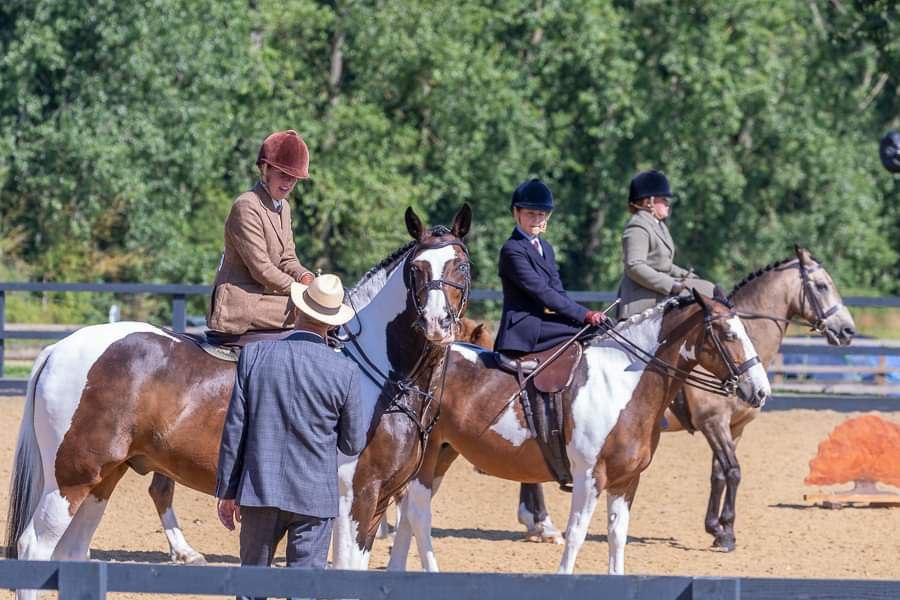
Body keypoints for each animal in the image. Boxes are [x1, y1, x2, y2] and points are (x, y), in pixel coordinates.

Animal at [5, 205, 472, 596]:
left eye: (461, 265)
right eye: (415, 269)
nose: (437, 323)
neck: (380, 375)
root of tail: (59, 348)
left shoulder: (376, 505)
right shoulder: (352, 499)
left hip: (104, 478)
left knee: (71, 555)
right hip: (71, 479)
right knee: (34, 549)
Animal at [384, 292, 768, 576]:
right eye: (729, 334)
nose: (761, 391)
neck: (623, 383)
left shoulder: (626, 481)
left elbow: (617, 536)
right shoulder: (589, 477)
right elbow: (577, 535)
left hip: (442, 454)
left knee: (410, 510)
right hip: (428, 456)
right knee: (419, 513)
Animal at [516, 246, 856, 552]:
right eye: (822, 285)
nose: (848, 330)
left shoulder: (735, 427)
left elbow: (719, 473)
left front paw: (717, 528)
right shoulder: (713, 423)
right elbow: (733, 471)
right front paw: (725, 533)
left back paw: (537, 523)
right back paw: (541, 524)